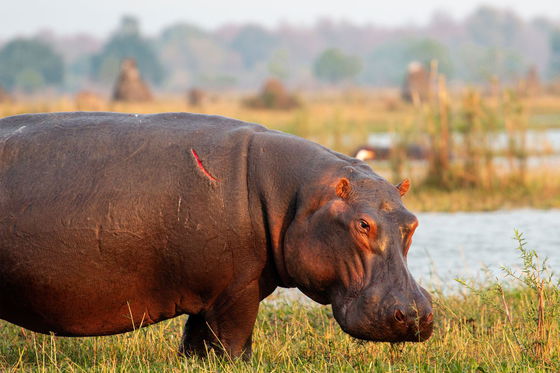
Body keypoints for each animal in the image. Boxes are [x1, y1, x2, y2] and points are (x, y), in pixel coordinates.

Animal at [0, 111, 434, 358]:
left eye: (412, 223)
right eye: (362, 224)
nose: (416, 314)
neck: (296, 195)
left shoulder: (207, 298)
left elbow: (195, 347)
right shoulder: (236, 292)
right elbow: (234, 348)